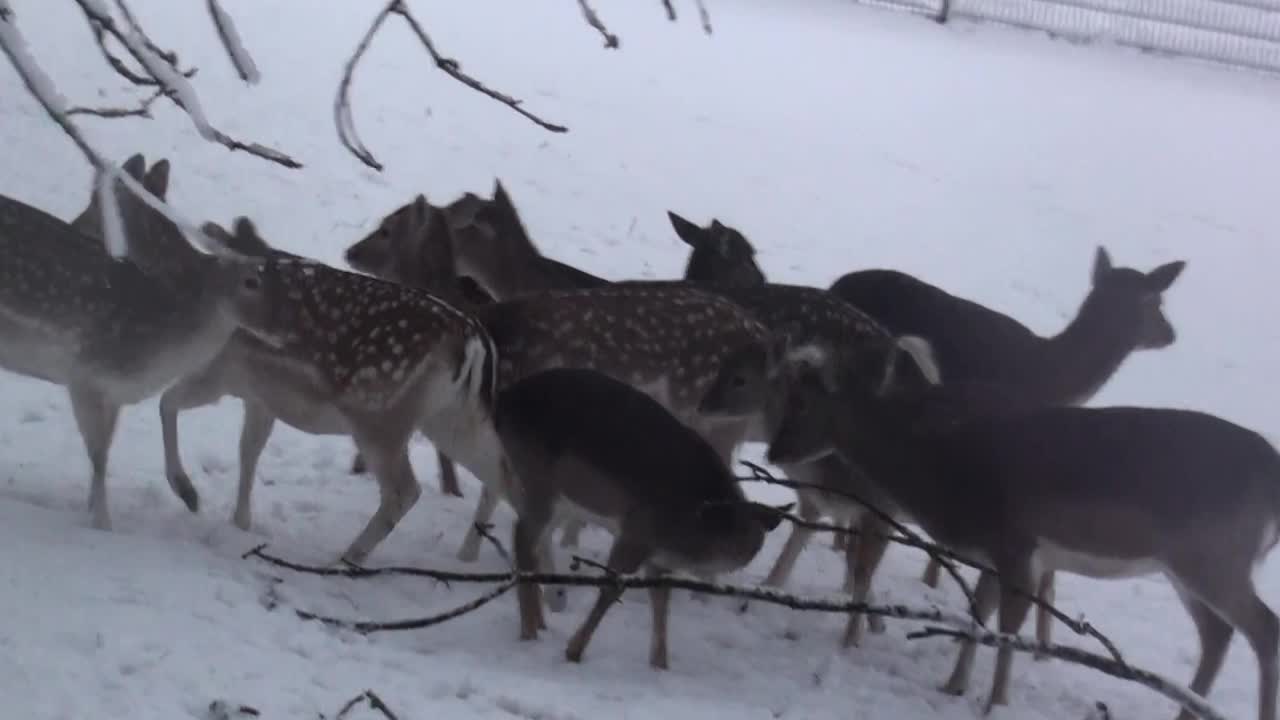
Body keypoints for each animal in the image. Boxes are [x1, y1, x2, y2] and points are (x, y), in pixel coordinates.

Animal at [0, 152, 259, 527]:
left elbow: (103, 453)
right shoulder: (87, 376)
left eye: (97, 199)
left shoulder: (112, 392)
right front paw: (103, 526)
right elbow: (99, 458)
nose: (73, 224)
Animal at [494, 366, 783, 666]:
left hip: (553, 495)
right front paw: (573, 651)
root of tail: (503, 399)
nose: (742, 555)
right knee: (522, 537)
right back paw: (529, 630)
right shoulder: (637, 531)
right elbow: (611, 589)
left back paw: (539, 623)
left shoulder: (660, 559)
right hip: (538, 479)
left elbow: (661, 601)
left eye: (756, 540)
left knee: (532, 537)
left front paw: (660, 664)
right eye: (741, 531)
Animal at [762, 338, 1274, 720]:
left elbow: (1008, 625)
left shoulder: (1017, 543)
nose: (773, 452)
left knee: (1263, 626)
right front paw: (953, 685)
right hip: (1190, 565)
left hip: (1212, 556)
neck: (943, 472)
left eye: (804, 402)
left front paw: (995, 702)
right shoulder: (995, 553)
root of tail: (1274, 477)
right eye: (785, 394)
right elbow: (979, 615)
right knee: (1218, 634)